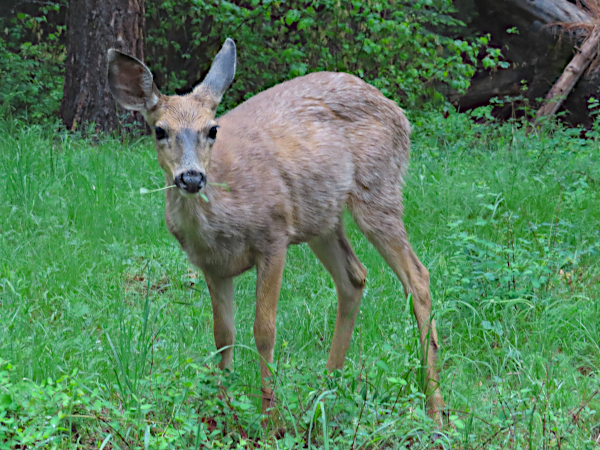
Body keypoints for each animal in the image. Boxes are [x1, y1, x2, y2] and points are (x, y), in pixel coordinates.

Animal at [106, 37, 446, 424]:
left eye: (212, 129)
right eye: (160, 130)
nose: (191, 177)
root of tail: (400, 114)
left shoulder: (274, 236)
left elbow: (263, 330)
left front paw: (270, 416)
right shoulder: (212, 265)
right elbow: (222, 334)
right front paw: (223, 411)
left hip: (378, 191)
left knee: (417, 277)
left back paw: (435, 409)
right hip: (322, 219)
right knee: (354, 277)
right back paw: (325, 392)